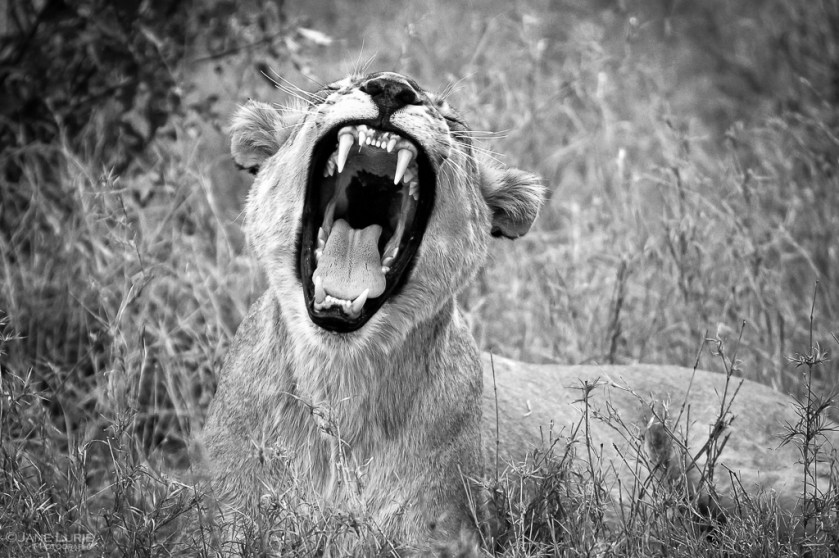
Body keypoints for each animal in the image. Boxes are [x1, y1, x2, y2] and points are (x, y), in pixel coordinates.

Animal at [199, 71, 837, 555]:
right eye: (333, 88)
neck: (339, 380)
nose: (391, 87)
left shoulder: (443, 537)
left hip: (749, 487)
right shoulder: (225, 525)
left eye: (454, 123)